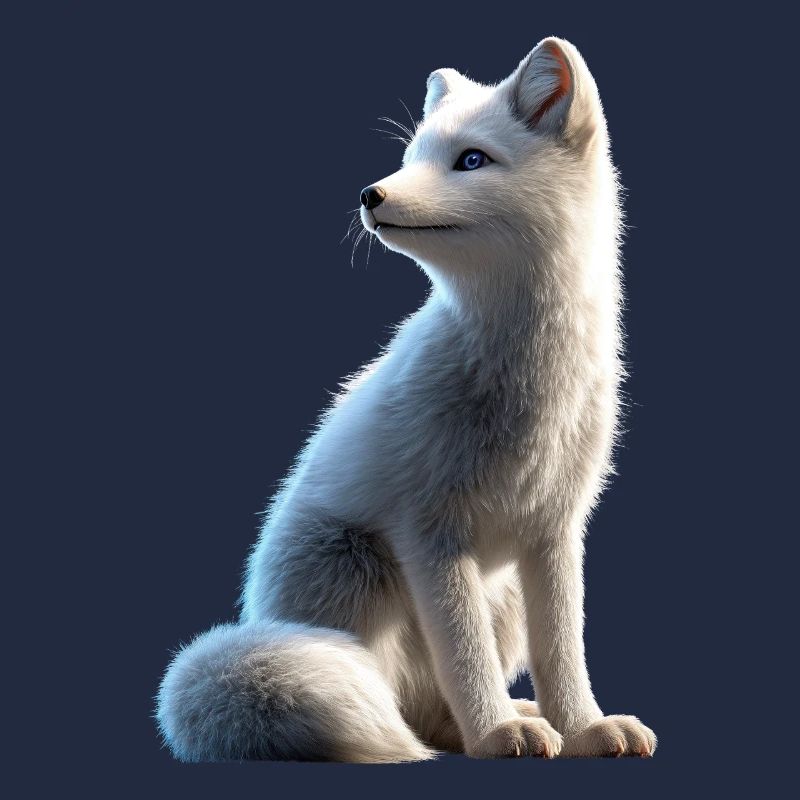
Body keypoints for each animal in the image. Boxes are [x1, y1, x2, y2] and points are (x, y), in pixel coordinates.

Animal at [156, 36, 657, 762]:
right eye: (412, 155)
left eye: (471, 159)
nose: (370, 193)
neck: (527, 380)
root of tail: (258, 616)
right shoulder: (429, 532)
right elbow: (466, 658)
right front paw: (497, 733)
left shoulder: (555, 530)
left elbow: (564, 650)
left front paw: (586, 727)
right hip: (359, 572)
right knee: (403, 702)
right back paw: (475, 729)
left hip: (499, 594)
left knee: (432, 707)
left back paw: (515, 718)